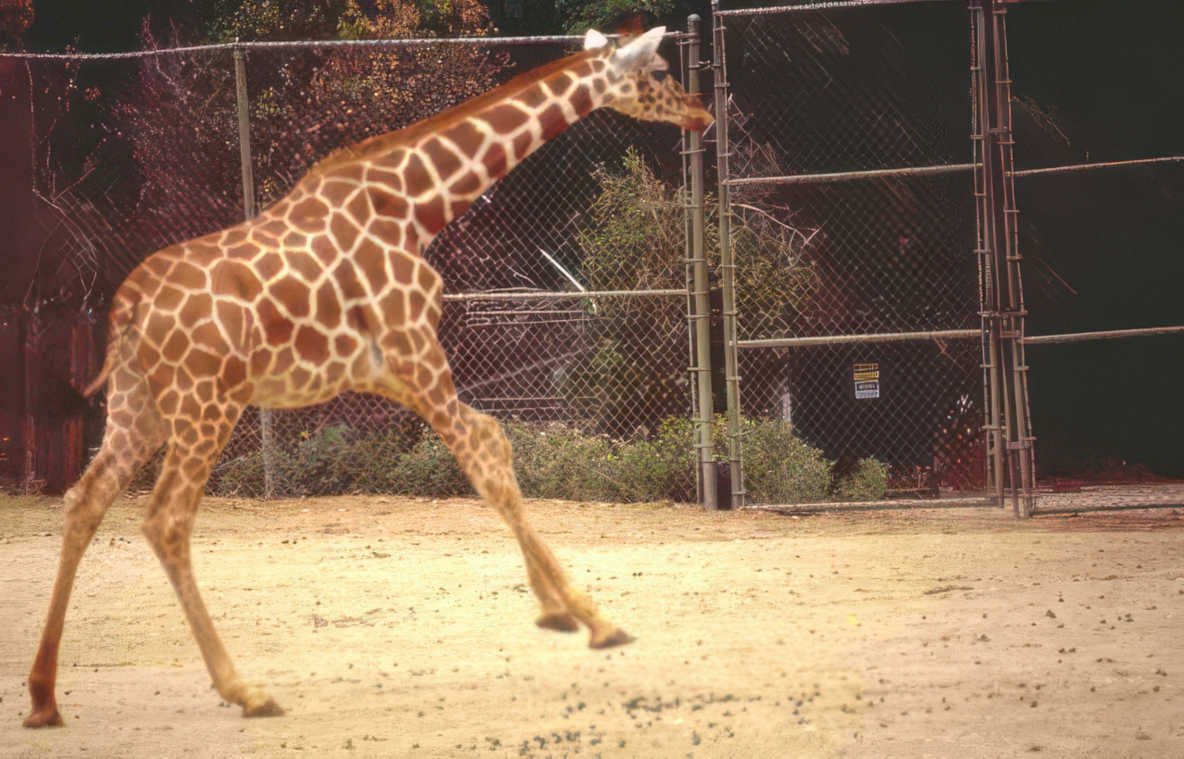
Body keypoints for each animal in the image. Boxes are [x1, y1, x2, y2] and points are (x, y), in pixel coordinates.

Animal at [23, 26, 712, 727]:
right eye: (659, 69)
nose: (702, 113)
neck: (416, 204)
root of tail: (129, 308)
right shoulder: (415, 351)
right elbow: (487, 460)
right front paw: (596, 620)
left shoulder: (391, 371)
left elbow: (492, 444)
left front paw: (554, 610)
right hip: (204, 405)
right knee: (165, 520)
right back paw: (246, 689)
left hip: (139, 408)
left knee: (84, 501)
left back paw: (44, 697)